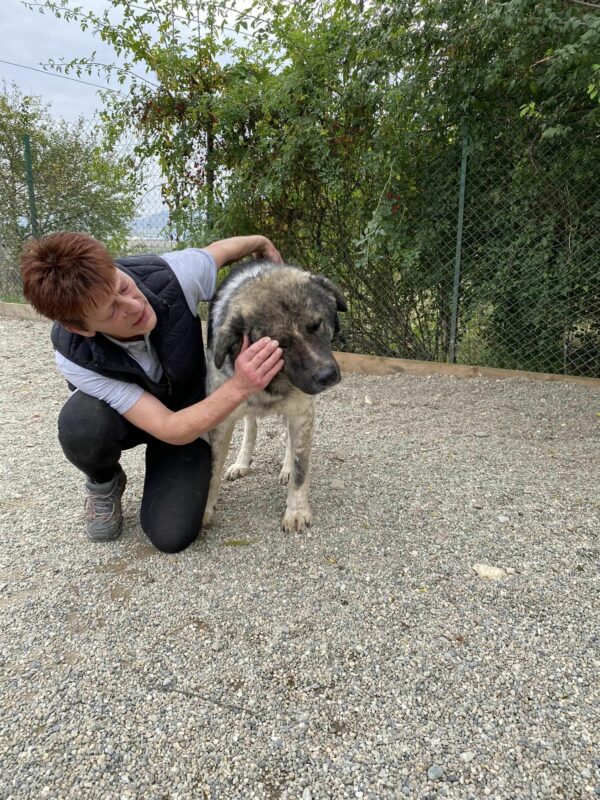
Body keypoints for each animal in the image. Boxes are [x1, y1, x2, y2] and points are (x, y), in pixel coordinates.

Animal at [204, 260, 346, 532]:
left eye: (316, 325)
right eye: (281, 343)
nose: (328, 375)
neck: (273, 382)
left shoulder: (301, 412)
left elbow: (301, 467)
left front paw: (296, 510)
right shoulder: (221, 419)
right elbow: (212, 468)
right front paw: (204, 509)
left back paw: (286, 468)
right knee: (251, 426)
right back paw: (241, 462)